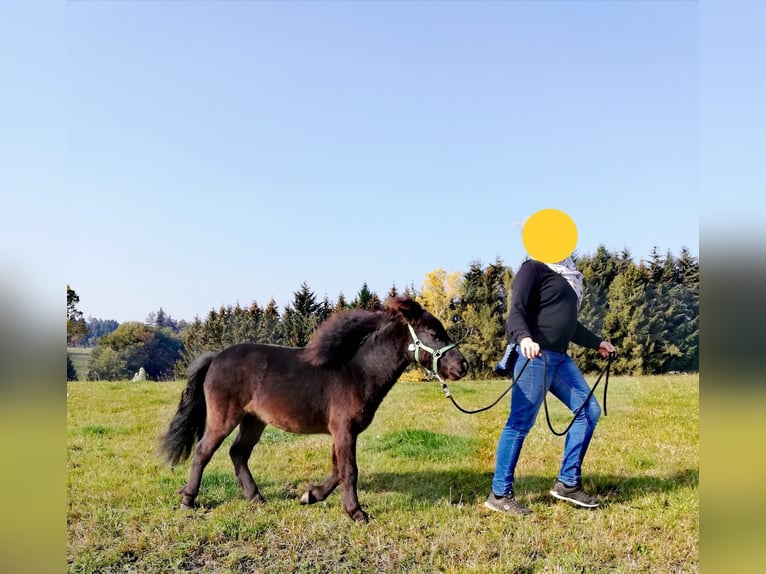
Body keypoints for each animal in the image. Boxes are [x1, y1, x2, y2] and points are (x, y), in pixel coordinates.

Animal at [160, 300, 468, 524]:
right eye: (434, 333)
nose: (462, 366)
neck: (358, 372)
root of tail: (215, 358)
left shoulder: (342, 430)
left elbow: (337, 469)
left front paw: (311, 495)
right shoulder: (344, 428)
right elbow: (350, 470)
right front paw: (357, 513)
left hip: (254, 420)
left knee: (238, 453)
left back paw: (255, 497)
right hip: (224, 418)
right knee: (203, 451)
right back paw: (188, 499)